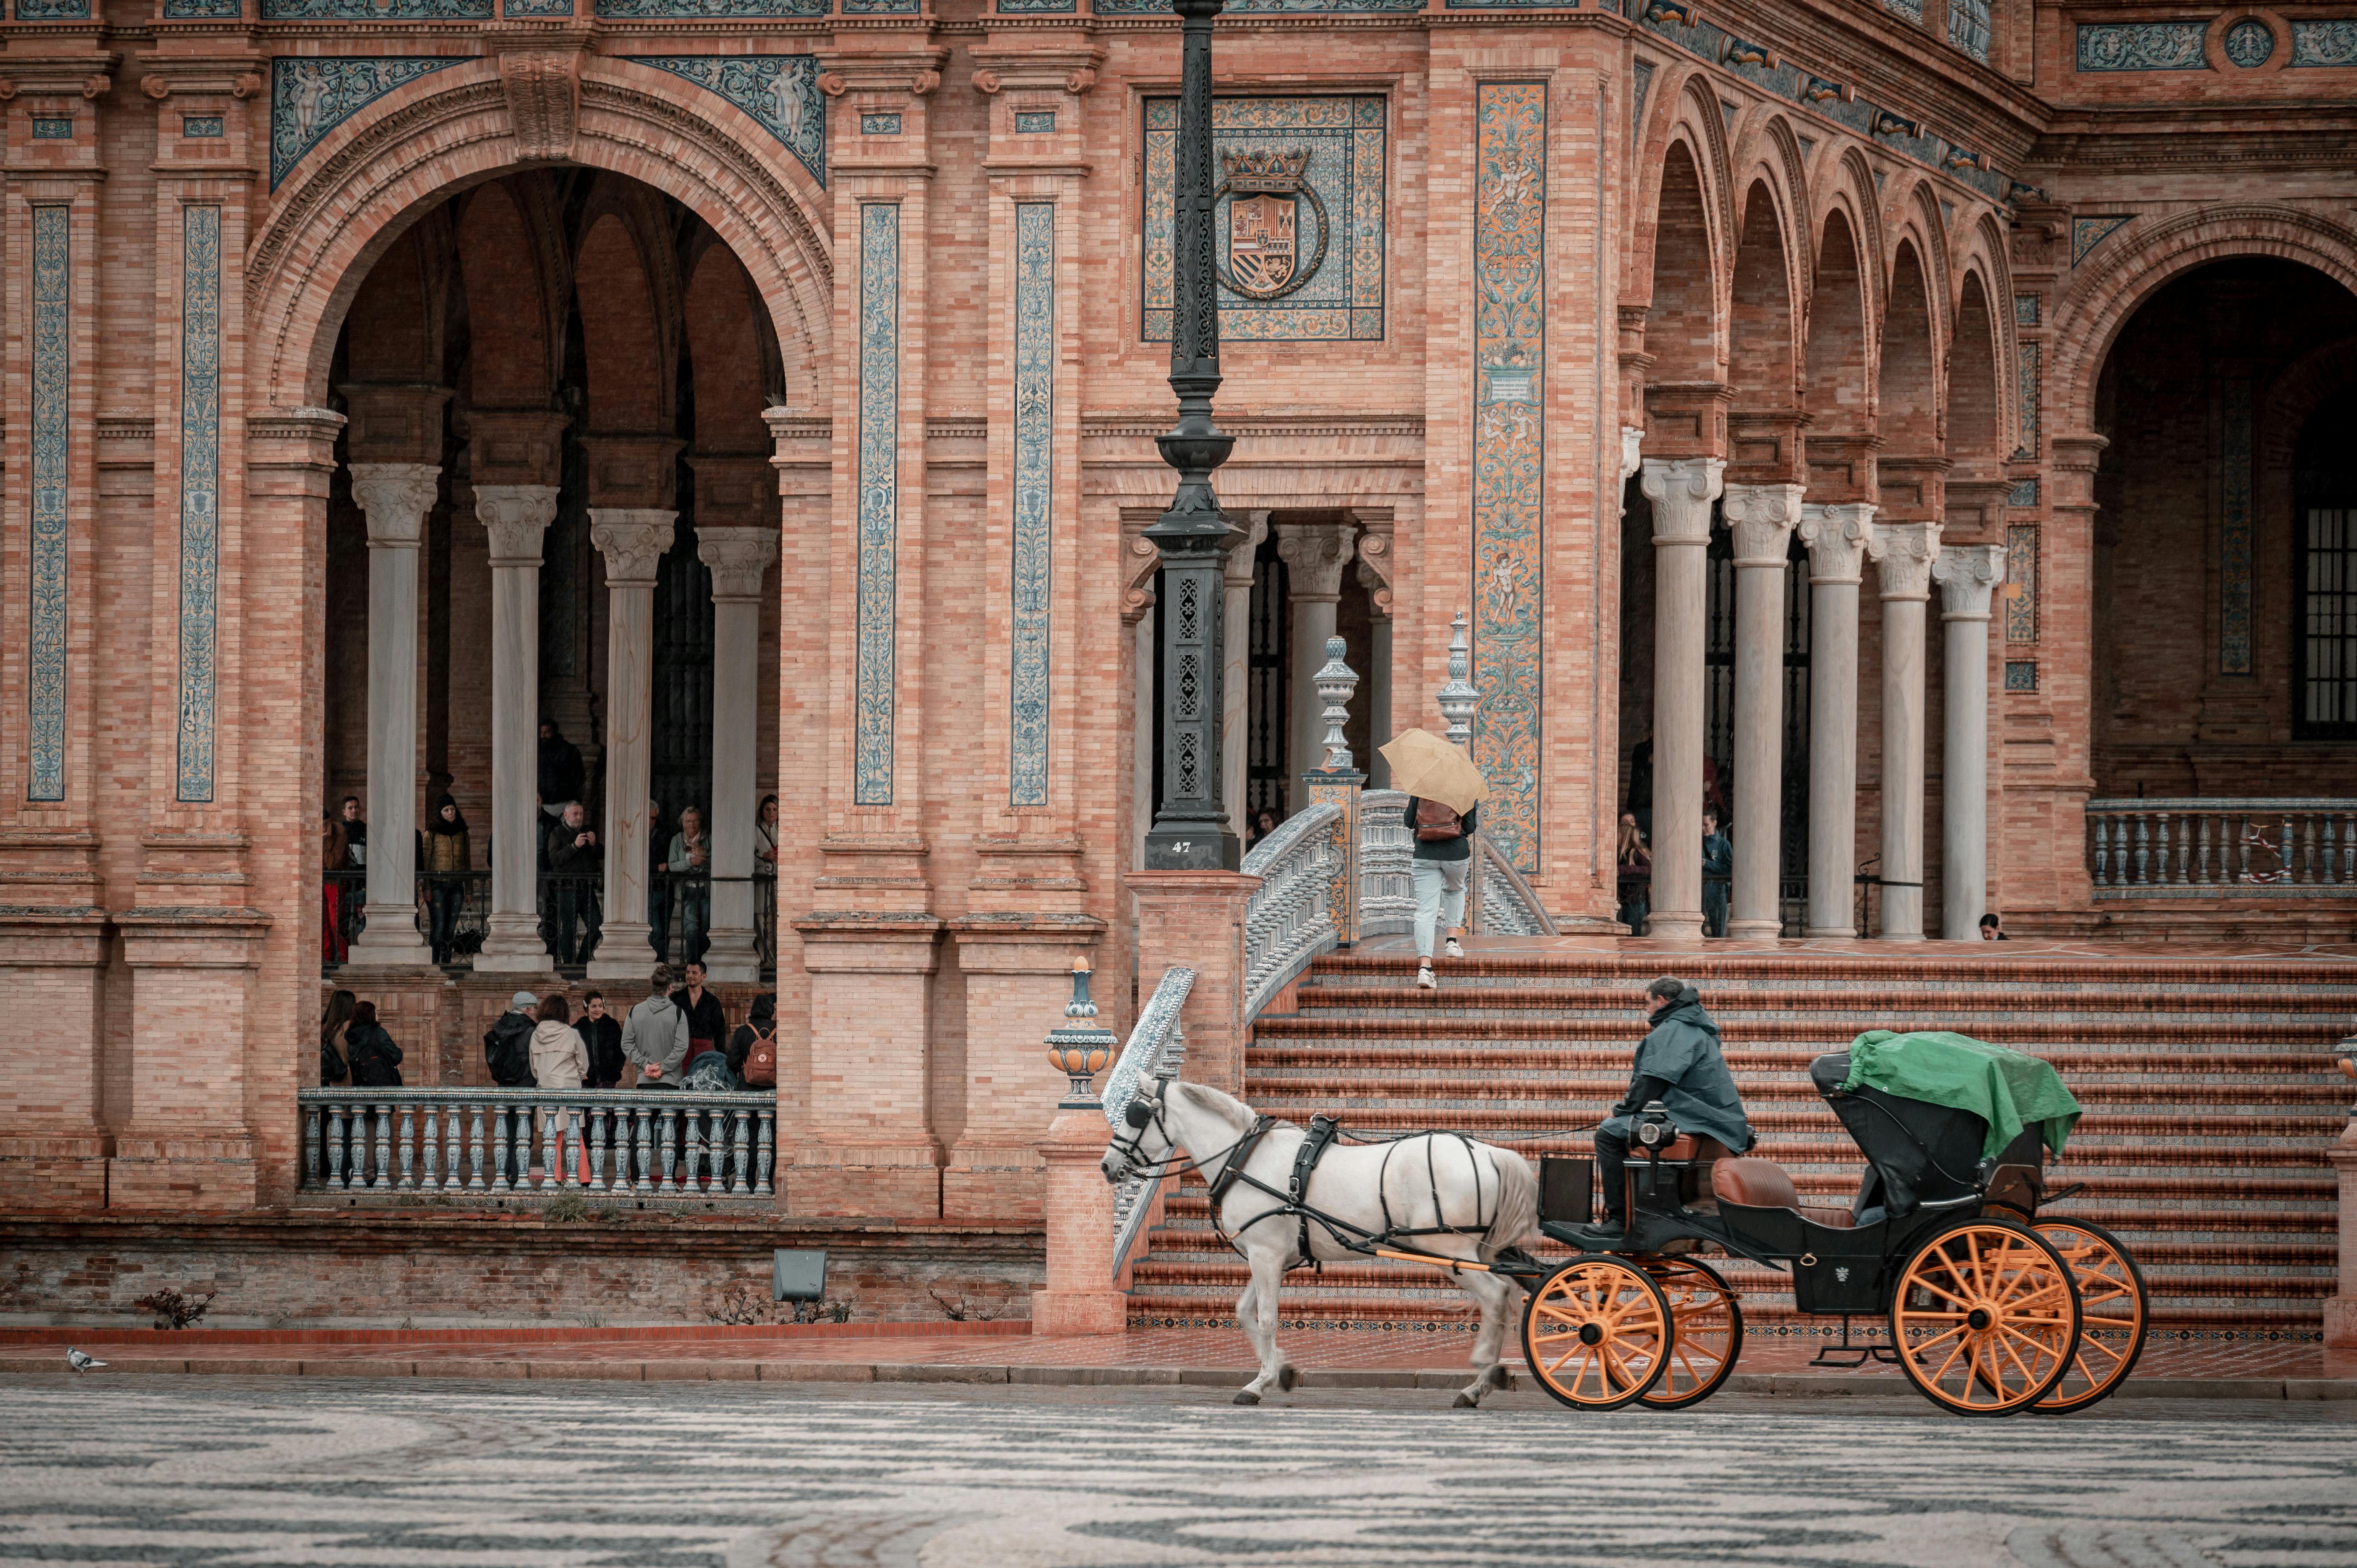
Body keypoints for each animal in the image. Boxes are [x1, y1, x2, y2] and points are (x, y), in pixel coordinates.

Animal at [1108, 1075, 1546, 1405]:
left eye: (1135, 1114)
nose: (1108, 1167)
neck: (1245, 1158)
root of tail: (1488, 1153)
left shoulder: (1265, 1255)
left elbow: (1266, 1318)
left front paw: (1259, 1382)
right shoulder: (1272, 1257)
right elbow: (1245, 1312)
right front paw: (1280, 1371)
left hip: (1450, 1251)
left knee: (1494, 1297)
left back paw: (1480, 1379)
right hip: (1478, 1251)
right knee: (1505, 1293)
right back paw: (1485, 1380)